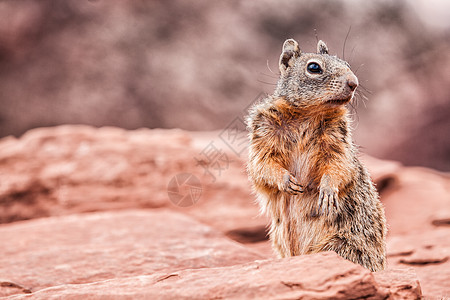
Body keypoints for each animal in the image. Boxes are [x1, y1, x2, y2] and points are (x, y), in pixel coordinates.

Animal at [246, 38, 386, 272]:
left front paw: (328, 191)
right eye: (313, 67)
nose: (354, 83)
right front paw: (287, 181)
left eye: (346, 63)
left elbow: (338, 166)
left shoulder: (339, 143)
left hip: (339, 245)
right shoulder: (263, 135)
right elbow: (263, 166)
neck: (308, 115)